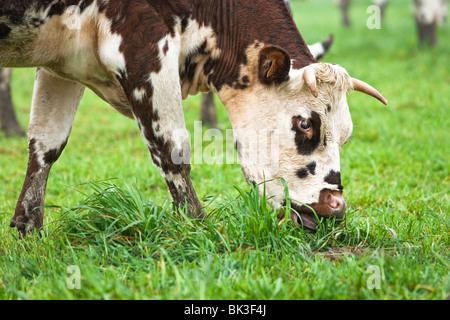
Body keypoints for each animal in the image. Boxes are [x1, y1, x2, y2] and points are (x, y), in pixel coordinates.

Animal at [0, 0, 386, 235]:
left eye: (346, 134)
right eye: (306, 123)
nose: (335, 209)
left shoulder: (61, 62)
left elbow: (46, 143)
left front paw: (28, 225)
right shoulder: (145, 50)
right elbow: (172, 149)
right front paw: (196, 224)